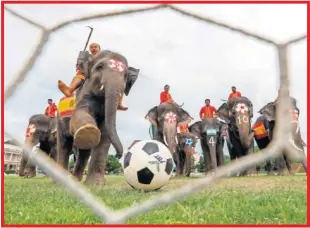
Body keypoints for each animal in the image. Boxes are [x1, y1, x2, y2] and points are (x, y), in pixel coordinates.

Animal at [56, 50, 139, 185]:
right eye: (99, 67)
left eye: (126, 75)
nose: (118, 155)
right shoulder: (82, 94)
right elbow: (79, 115)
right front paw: (88, 130)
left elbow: (104, 135)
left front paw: (95, 185)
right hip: (58, 119)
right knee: (64, 145)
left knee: (84, 151)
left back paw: (75, 179)